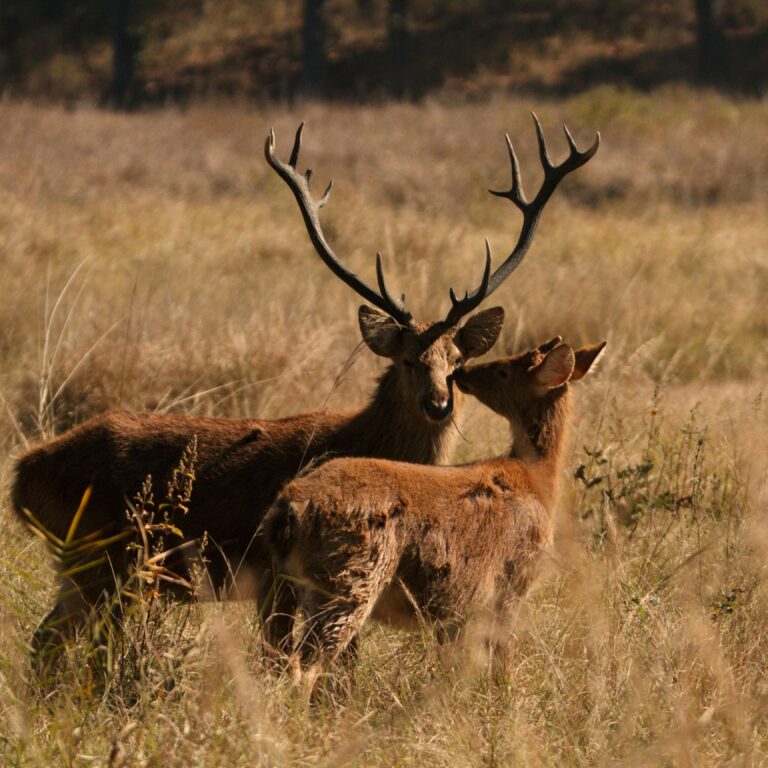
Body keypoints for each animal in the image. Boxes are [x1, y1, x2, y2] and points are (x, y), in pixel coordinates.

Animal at [262, 337, 606, 686]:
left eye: (503, 370)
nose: (462, 372)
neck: (537, 480)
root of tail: (288, 507)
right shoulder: (511, 585)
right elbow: (501, 663)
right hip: (350, 581)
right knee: (305, 664)